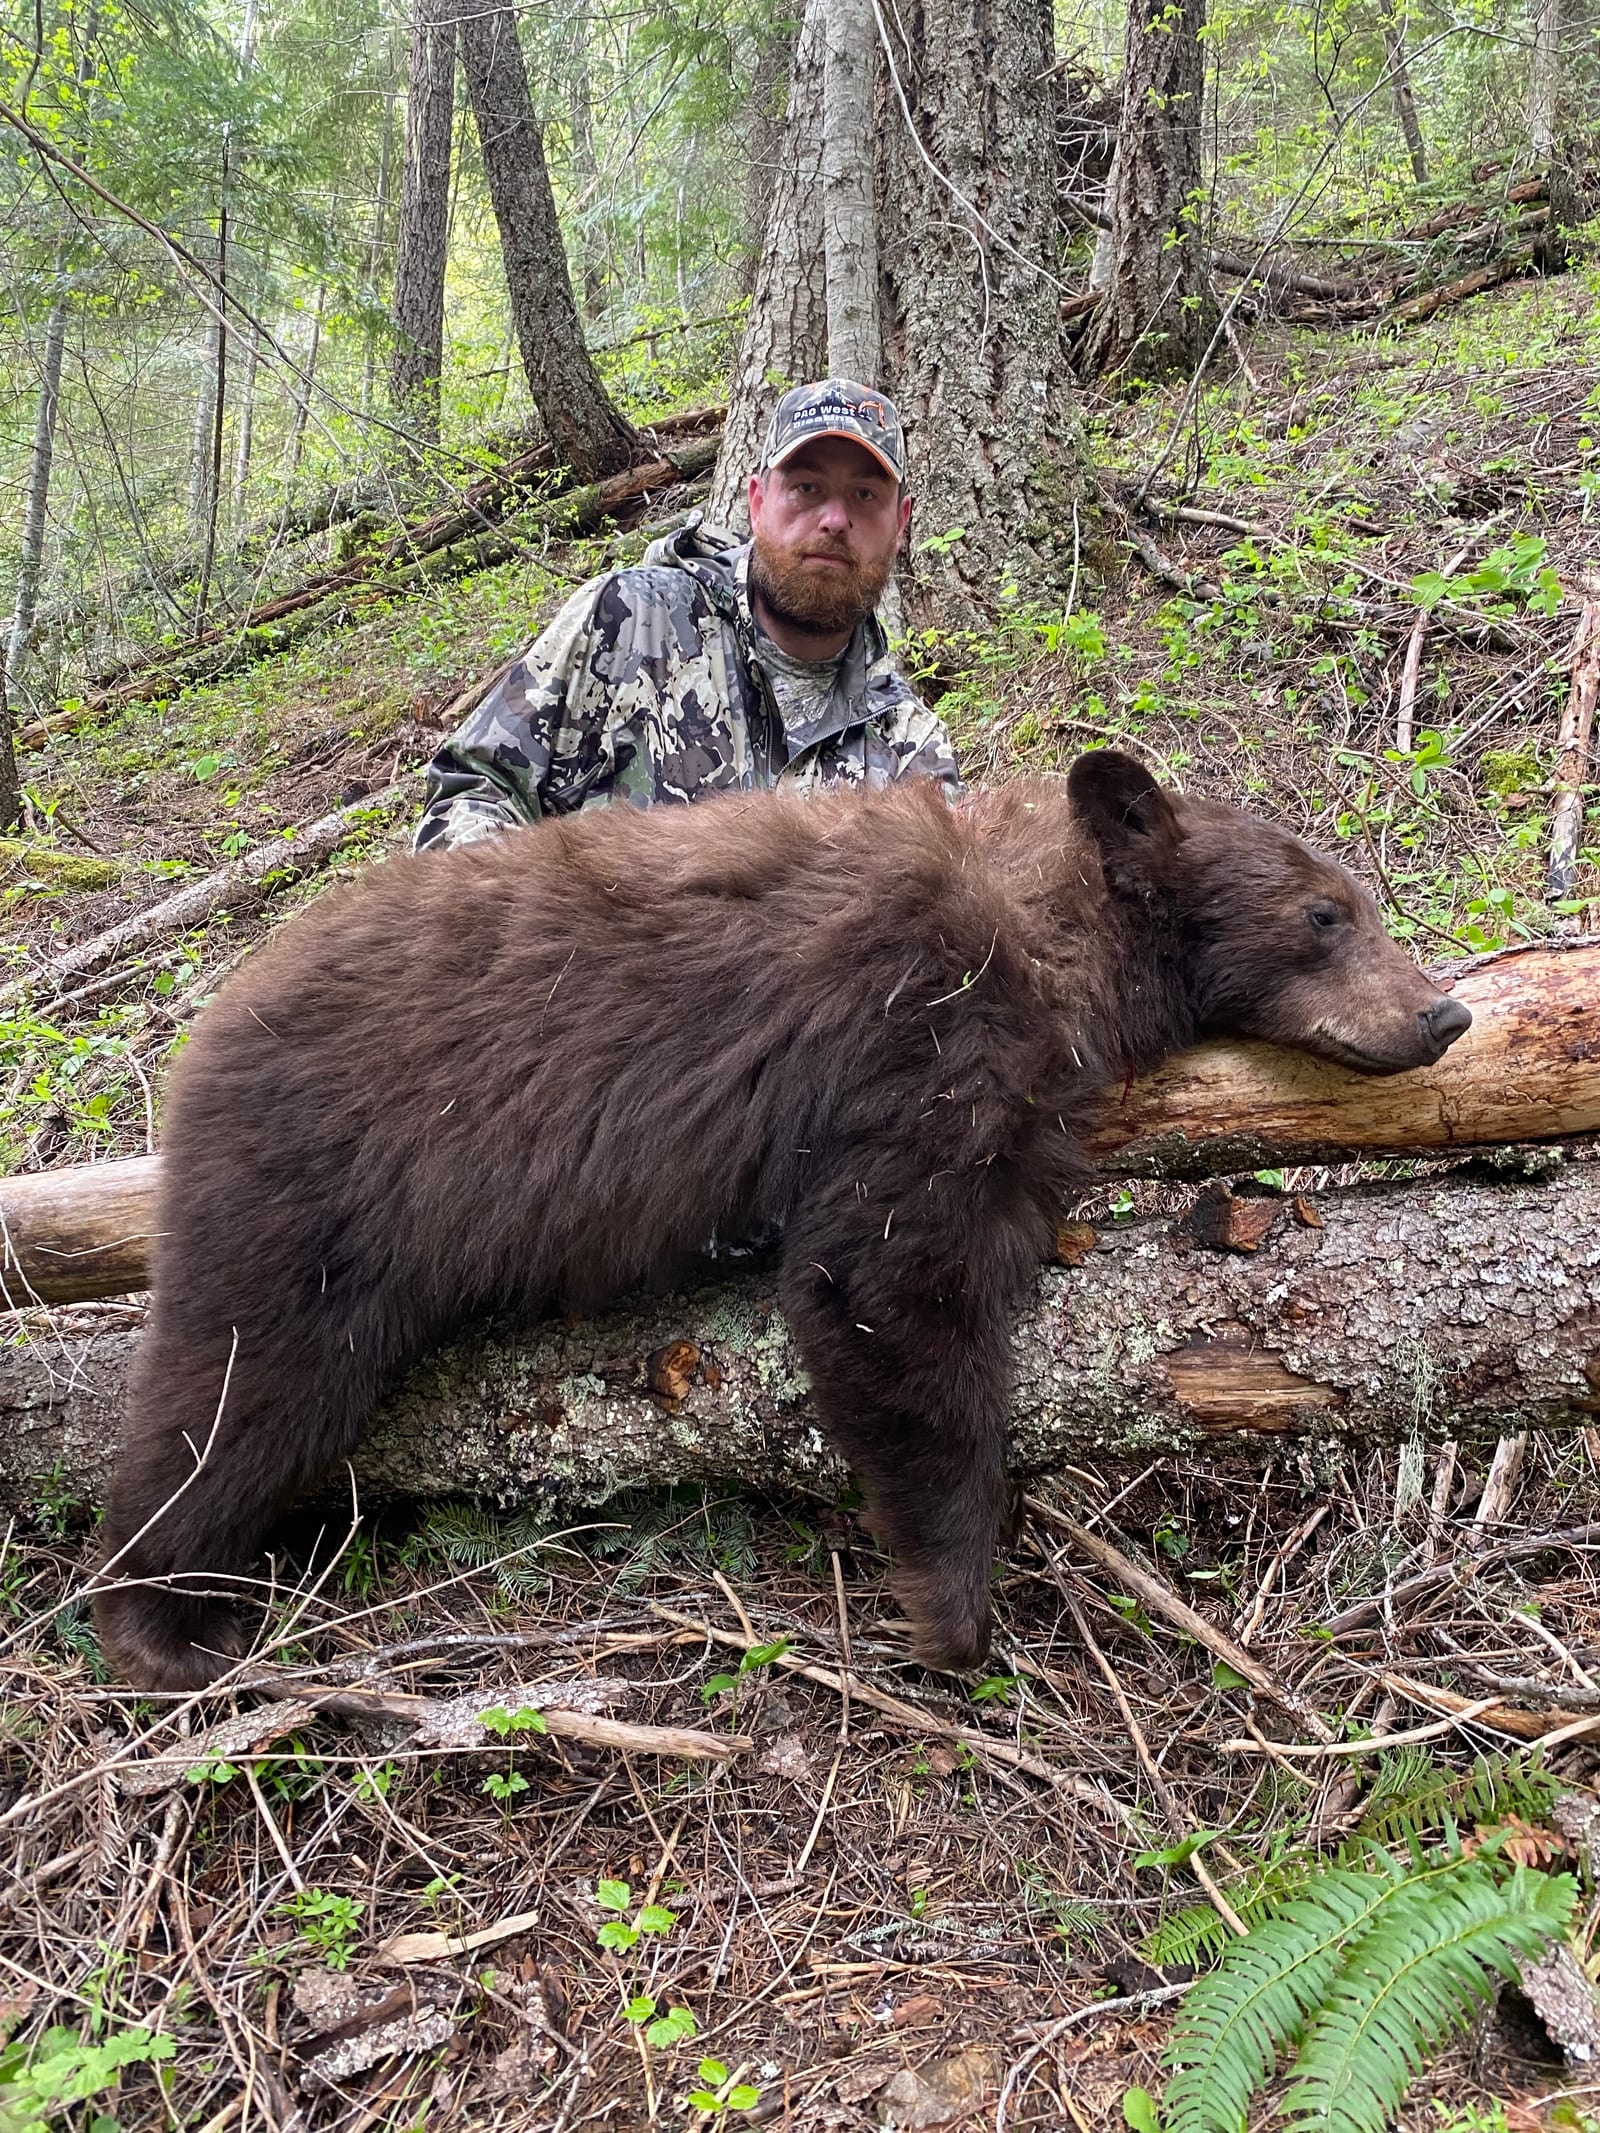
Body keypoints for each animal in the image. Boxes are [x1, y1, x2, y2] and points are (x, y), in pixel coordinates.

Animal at [93, 752, 1471, 1690]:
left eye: (1360, 901)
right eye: (1325, 913)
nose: (1445, 1013)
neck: (1041, 922)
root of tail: (204, 1030)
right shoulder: (921, 1032)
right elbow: (882, 1281)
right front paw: (954, 1603)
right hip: (309, 1190)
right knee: (236, 1392)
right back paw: (161, 1618)